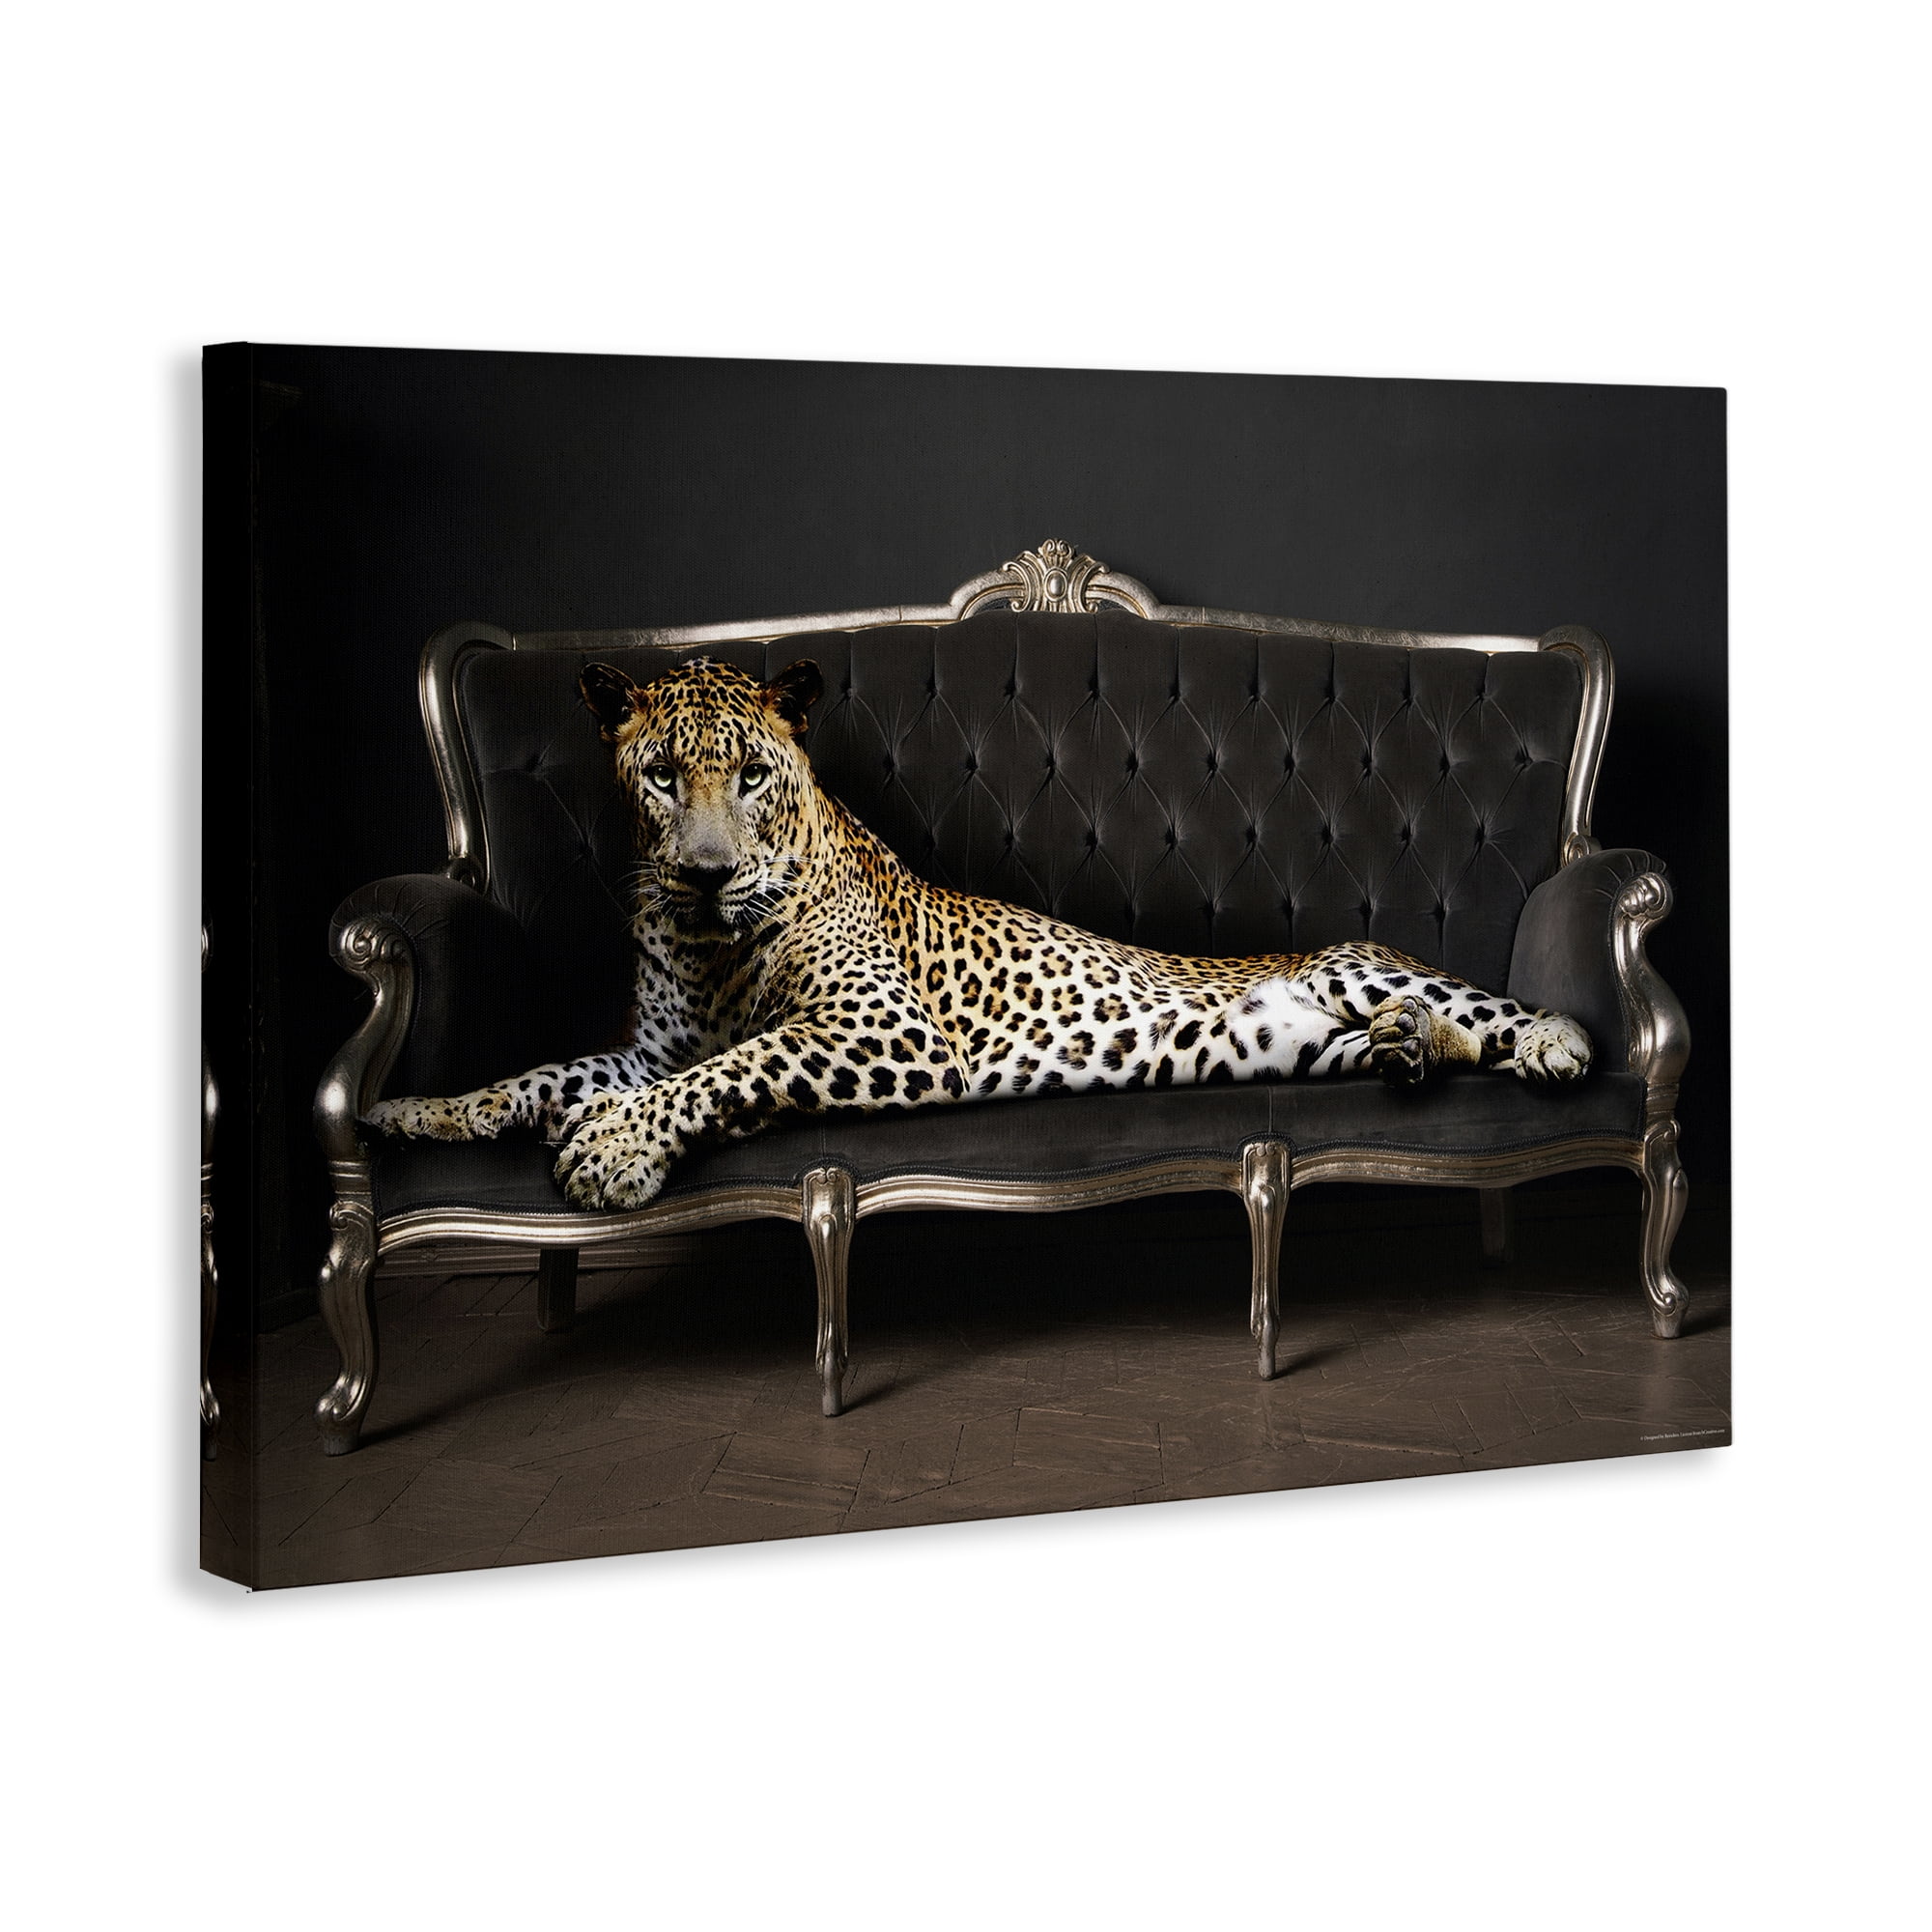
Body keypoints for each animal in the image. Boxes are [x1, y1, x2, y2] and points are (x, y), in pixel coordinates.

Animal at [367, 655, 1593, 1210]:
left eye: (751, 774)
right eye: (662, 775)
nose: (706, 876)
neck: (718, 947)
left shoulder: (886, 1034)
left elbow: (732, 1069)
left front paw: (614, 1147)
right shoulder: (652, 1044)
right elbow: (547, 1072)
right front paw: (423, 1111)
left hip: (1356, 964)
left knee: (1490, 1013)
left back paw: (1546, 1042)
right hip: (1293, 1042)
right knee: (1416, 1040)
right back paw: (1403, 1052)